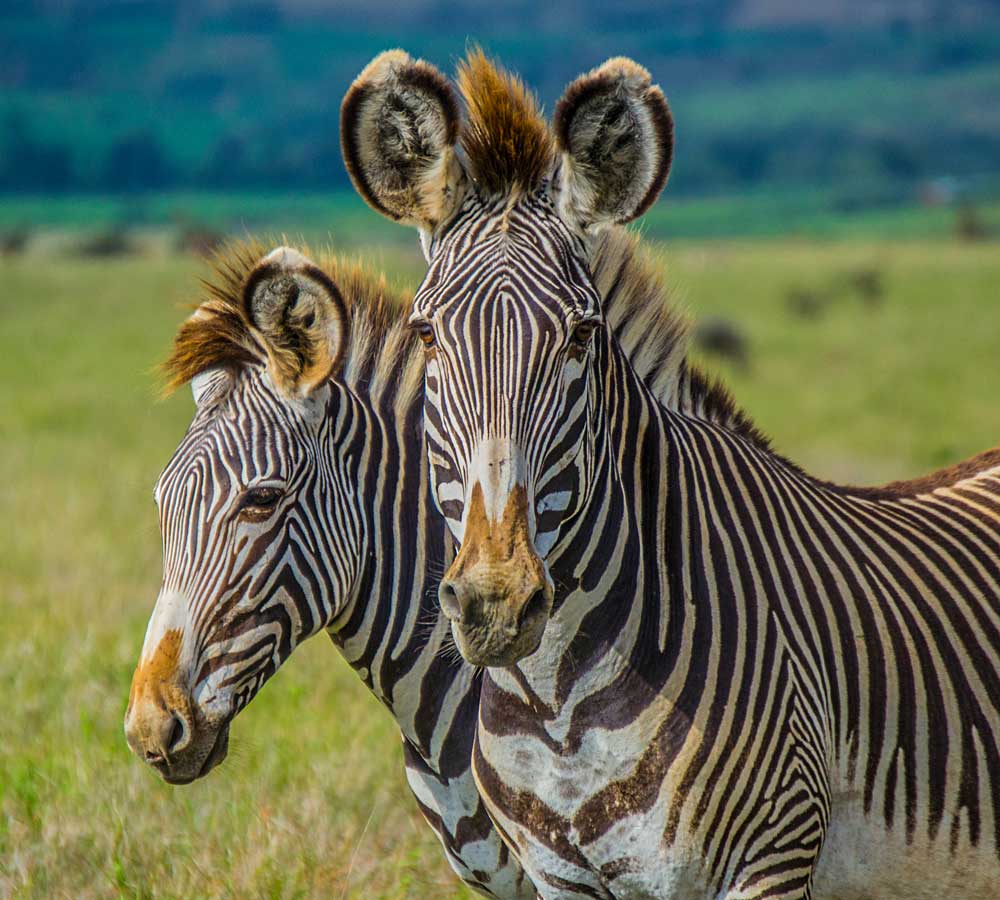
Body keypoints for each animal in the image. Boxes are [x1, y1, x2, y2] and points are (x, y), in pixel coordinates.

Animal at [342, 51, 1000, 900]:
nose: (496, 605)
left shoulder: (771, 857)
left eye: (582, 337)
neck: (557, 708)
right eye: (425, 334)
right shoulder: (557, 878)